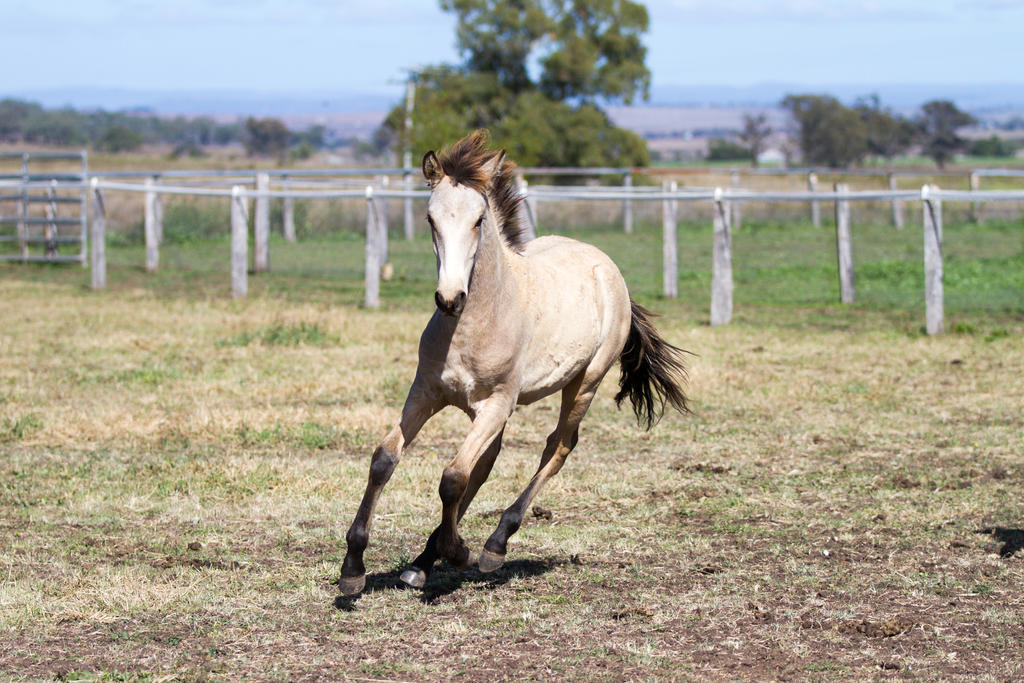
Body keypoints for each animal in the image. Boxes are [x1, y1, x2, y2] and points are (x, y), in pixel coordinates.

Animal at [337, 131, 688, 593]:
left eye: (478, 220)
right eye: (430, 219)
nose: (450, 298)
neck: (472, 326)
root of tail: (605, 266)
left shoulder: (498, 403)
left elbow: (452, 477)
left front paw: (460, 551)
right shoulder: (426, 394)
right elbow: (385, 460)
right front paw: (353, 567)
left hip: (584, 382)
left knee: (557, 447)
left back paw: (493, 545)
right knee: (485, 464)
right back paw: (424, 561)